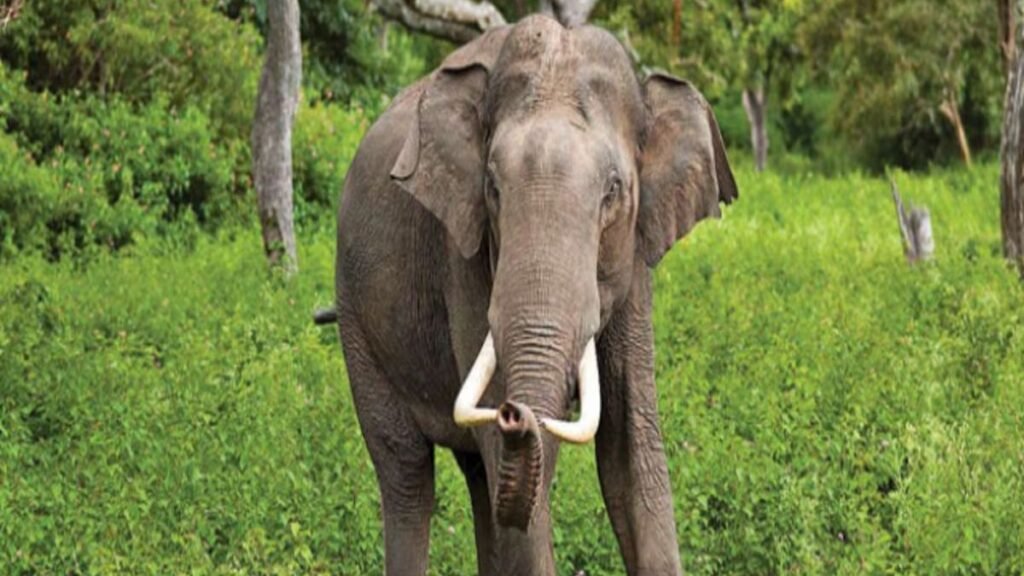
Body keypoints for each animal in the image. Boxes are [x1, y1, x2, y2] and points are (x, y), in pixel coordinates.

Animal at [331, 14, 737, 576]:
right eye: (492, 187)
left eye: (613, 191)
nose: (514, 413)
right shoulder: (463, 252)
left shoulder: (634, 259)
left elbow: (631, 451)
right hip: (355, 316)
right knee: (407, 473)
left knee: (479, 477)